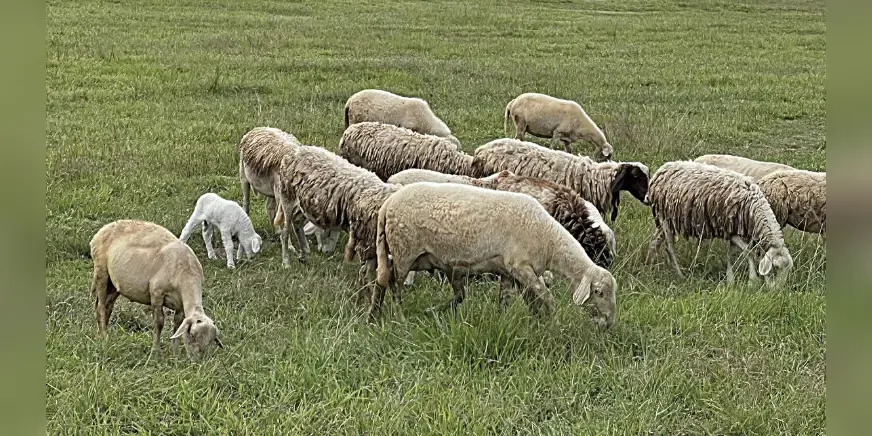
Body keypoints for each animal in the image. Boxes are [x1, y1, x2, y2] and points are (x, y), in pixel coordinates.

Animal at [89, 219, 223, 361]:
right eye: (192, 335)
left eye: (210, 342)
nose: (197, 361)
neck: (187, 272)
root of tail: (104, 228)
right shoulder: (157, 293)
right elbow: (159, 323)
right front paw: (156, 352)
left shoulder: (180, 305)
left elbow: (177, 324)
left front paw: (175, 353)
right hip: (101, 271)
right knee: (101, 307)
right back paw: (104, 337)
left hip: (114, 284)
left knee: (107, 306)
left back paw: (102, 334)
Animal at [374, 182, 617, 328]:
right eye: (598, 292)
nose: (608, 322)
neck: (550, 241)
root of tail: (387, 206)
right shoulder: (520, 266)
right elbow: (547, 298)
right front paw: (554, 325)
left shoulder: (510, 271)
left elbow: (509, 301)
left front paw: (509, 322)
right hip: (405, 250)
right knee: (394, 285)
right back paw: (400, 319)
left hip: (408, 255)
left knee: (381, 280)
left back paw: (373, 316)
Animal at [644, 161, 794, 286]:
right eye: (775, 268)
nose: (777, 290)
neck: (753, 209)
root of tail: (661, 170)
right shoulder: (730, 229)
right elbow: (748, 252)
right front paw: (753, 280)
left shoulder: (733, 230)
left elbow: (731, 254)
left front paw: (730, 279)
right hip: (665, 216)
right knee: (669, 246)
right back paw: (680, 274)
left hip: (667, 219)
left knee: (655, 241)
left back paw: (650, 265)